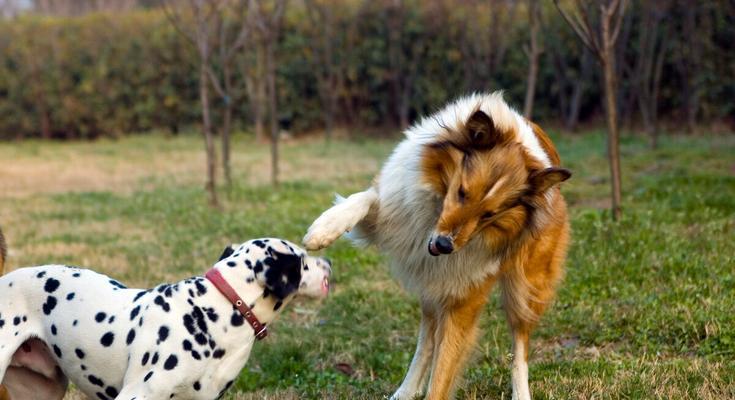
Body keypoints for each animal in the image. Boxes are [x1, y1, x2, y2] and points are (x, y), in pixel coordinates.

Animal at [302, 92, 572, 398]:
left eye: (489, 214)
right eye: (463, 192)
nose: (444, 245)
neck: (436, 206)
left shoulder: (463, 300)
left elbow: (443, 373)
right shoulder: (392, 214)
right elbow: (367, 198)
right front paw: (324, 228)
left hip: (524, 289)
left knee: (520, 345)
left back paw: (521, 390)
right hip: (432, 286)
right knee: (427, 340)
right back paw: (405, 391)